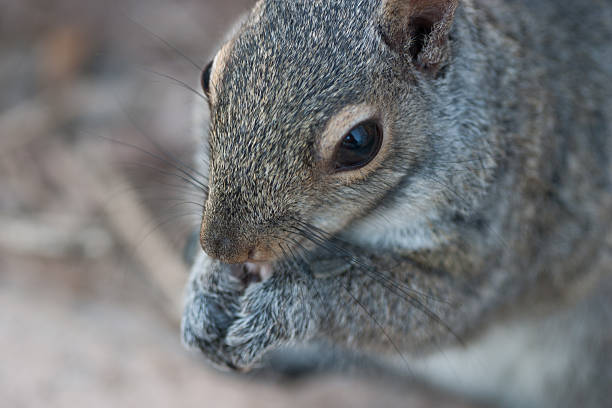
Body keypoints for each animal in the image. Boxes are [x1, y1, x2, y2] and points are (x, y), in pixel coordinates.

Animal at [179, 1, 608, 406]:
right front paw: (206, 285)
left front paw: (284, 304)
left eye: (358, 142)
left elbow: (427, 309)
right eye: (207, 75)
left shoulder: (494, 237)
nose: (222, 247)